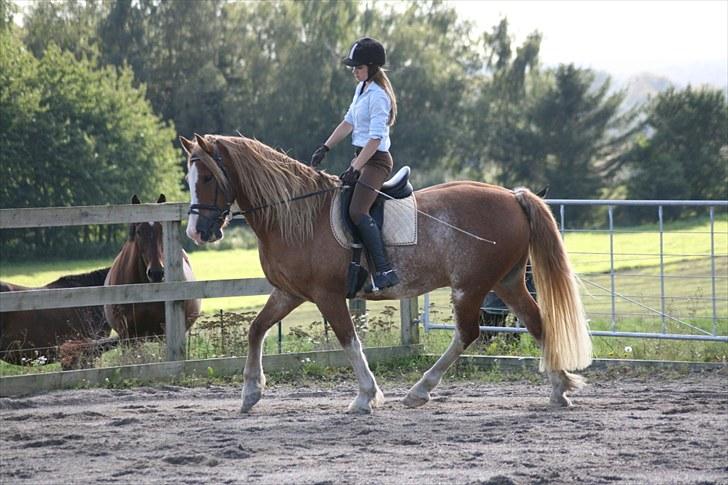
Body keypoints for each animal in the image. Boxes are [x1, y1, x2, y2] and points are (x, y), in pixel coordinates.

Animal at [181, 134, 592, 414]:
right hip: (506, 283)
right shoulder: (289, 292)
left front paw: (366, 396)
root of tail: (512, 196)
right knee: (536, 324)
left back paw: (420, 390)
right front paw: (251, 392)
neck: (299, 216)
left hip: (471, 286)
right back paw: (559, 388)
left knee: (468, 333)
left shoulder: (328, 296)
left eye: (207, 178)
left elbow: (349, 341)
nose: (198, 233)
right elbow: (257, 329)